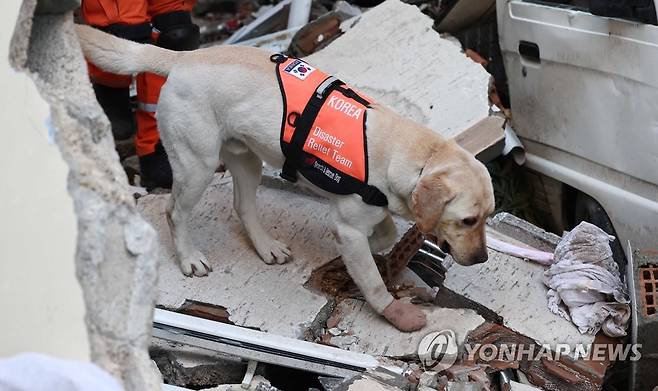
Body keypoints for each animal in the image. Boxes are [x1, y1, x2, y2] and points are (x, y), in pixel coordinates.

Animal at [75, 24, 492, 332]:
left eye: (488, 217)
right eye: (467, 220)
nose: (482, 258)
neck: (414, 154)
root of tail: (185, 57)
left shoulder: (364, 213)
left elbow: (386, 233)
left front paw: (378, 241)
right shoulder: (348, 225)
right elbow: (372, 279)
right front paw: (393, 309)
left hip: (246, 160)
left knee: (243, 206)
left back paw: (266, 247)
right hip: (197, 164)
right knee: (174, 211)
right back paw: (190, 257)